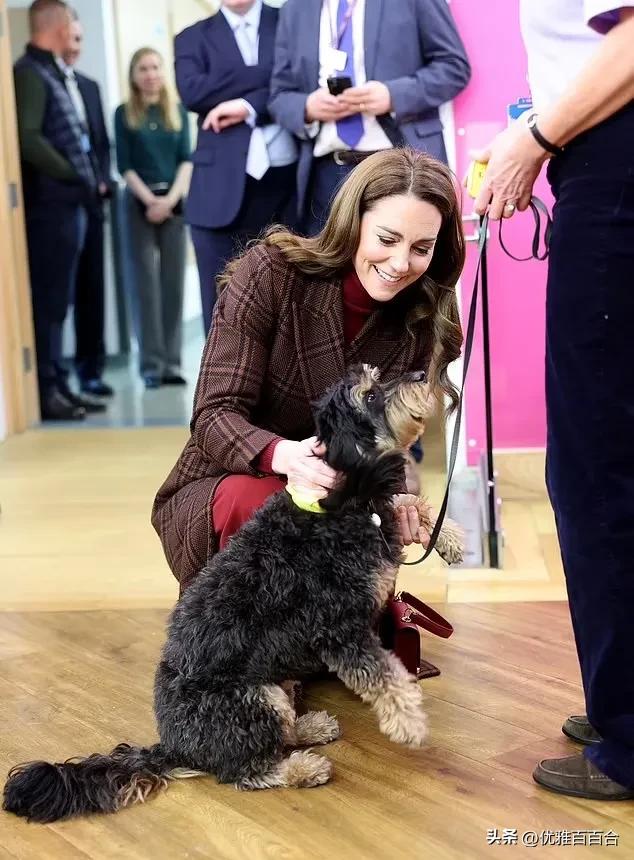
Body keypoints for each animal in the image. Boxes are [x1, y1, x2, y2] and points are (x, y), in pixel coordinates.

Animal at [2, 362, 462, 820]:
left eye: (377, 377)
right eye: (370, 395)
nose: (422, 374)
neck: (338, 504)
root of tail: (175, 746)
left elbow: (406, 503)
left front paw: (450, 536)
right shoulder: (337, 627)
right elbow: (385, 677)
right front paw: (410, 722)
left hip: (275, 684)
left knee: (278, 736)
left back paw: (309, 726)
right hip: (254, 698)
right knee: (246, 771)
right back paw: (302, 767)